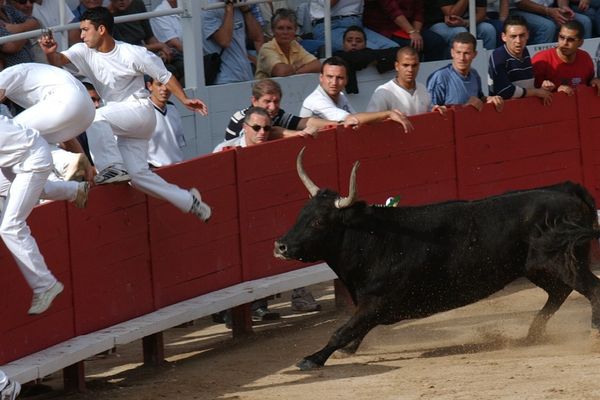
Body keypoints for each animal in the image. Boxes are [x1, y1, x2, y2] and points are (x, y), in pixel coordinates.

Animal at [276, 148, 600, 370]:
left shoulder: (376, 302)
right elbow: (353, 330)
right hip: (538, 267)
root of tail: (568, 190)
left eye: (319, 221)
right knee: (559, 292)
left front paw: (312, 359)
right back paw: (531, 335)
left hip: (560, 260)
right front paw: (346, 350)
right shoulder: (371, 306)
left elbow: (341, 331)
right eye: (301, 214)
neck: (371, 237)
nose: (281, 245)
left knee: (590, 289)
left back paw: (593, 331)